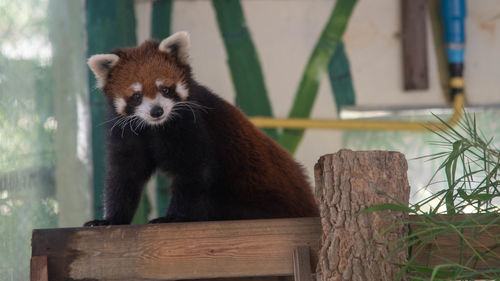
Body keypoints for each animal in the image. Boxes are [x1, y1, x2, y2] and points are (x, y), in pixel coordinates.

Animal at [82, 31, 316, 225]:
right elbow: (124, 175)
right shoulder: (127, 132)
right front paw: (110, 219)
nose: (157, 111)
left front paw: (173, 217)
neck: (154, 129)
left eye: (165, 89)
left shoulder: (194, 126)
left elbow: (193, 172)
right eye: (137, 96)